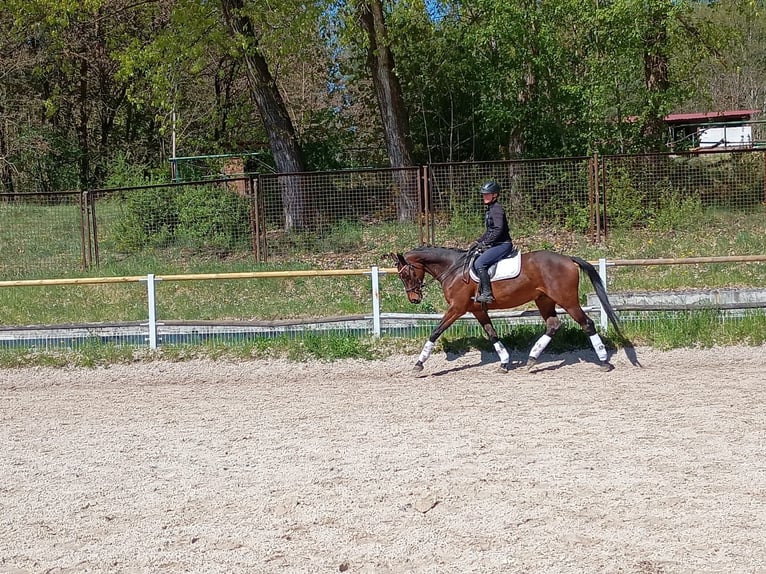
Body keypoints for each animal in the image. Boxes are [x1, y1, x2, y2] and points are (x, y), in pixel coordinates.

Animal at [390, 246, 625, 375]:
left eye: (406, 274)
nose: (414, 299)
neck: (453, 269)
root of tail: (568, 259)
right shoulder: (477, 310)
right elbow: (492, 334)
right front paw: (504, 362)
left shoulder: (457, 308)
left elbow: (435, 332)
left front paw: (419, 364)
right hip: (544, 300)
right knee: (553, 325)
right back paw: (532, 359)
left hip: (567, 300)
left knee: (587, 323)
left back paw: (604, 361)